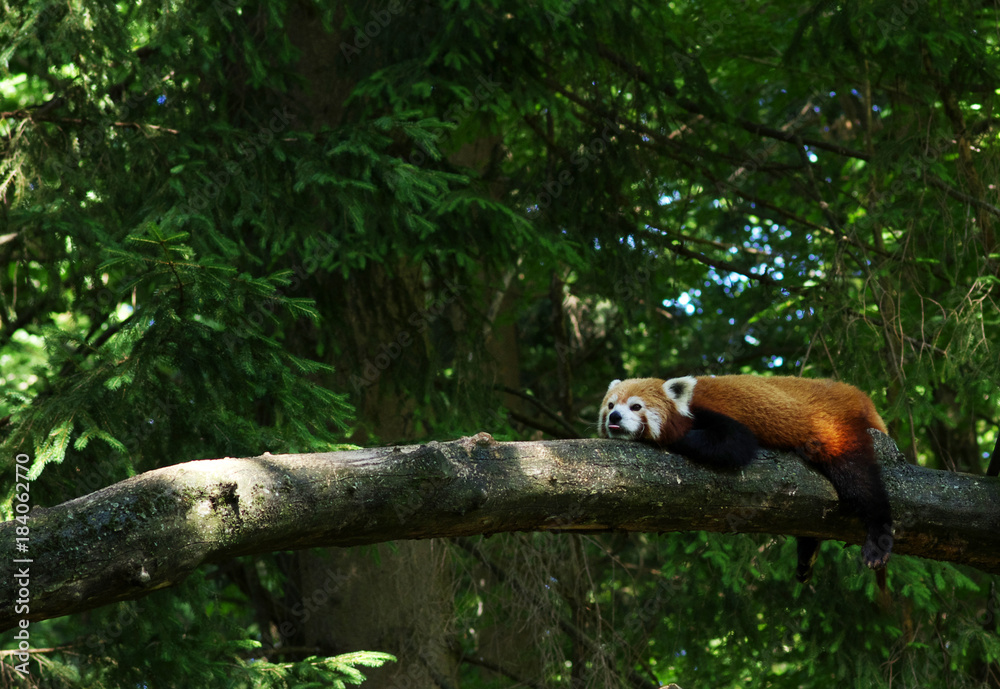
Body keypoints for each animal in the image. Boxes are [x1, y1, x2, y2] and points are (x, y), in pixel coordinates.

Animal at [596, 376, 896, 580]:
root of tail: (858, 396)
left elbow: (735, 444)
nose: (615, 416)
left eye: (636, 407)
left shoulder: (711, 415)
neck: (685, 406)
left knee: (861, 484)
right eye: (610, 405)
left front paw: (667, 439)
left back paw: (878, 541)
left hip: (836, 432)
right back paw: (807, 554)